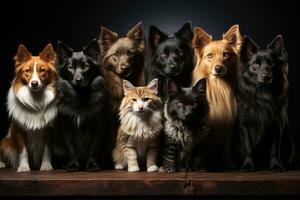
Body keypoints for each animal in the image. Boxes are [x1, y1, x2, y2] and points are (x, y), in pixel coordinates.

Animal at [192, 24, 244, 169]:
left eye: (226, 55)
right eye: (209, 56)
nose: (218, 68)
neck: (218, 87)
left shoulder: (228, 124)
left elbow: (226, 146)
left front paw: (228, 164)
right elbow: (208, 147)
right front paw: (211, 165)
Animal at [236, 35, 292, 171]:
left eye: (272, 64)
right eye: (256, 65)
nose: (266, 76)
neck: (263, 94)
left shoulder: (277, 124)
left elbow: (275, 149)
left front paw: (276, 165)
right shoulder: (244, 124)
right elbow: (248, 147)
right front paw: (248, 165)